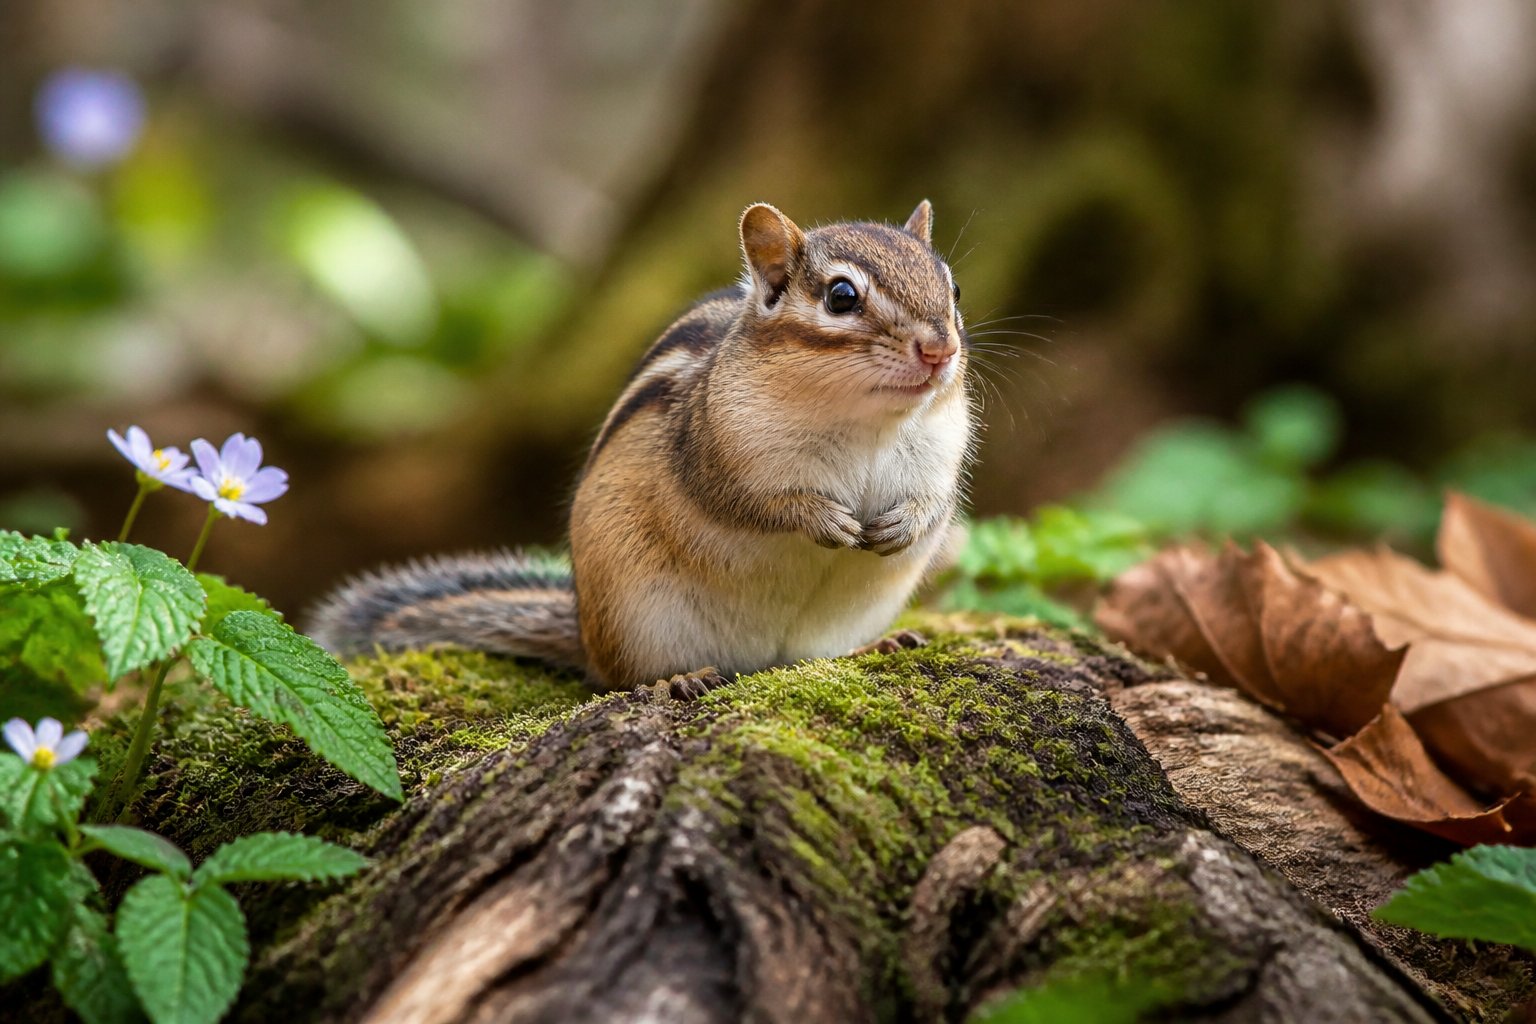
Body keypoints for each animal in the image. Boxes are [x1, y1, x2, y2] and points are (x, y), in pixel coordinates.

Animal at [307, 200, 974, 695]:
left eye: (955, 289)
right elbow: (753, 503)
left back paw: (876, 643)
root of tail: (584, 631)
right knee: (621, 679)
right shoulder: (714, 452)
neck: (869, 421)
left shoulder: (941, 458)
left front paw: (903, 526)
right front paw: (823, 518)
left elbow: (935, 504)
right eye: (841, 297)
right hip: (638, 618)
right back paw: (675, 681)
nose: (940, 350)